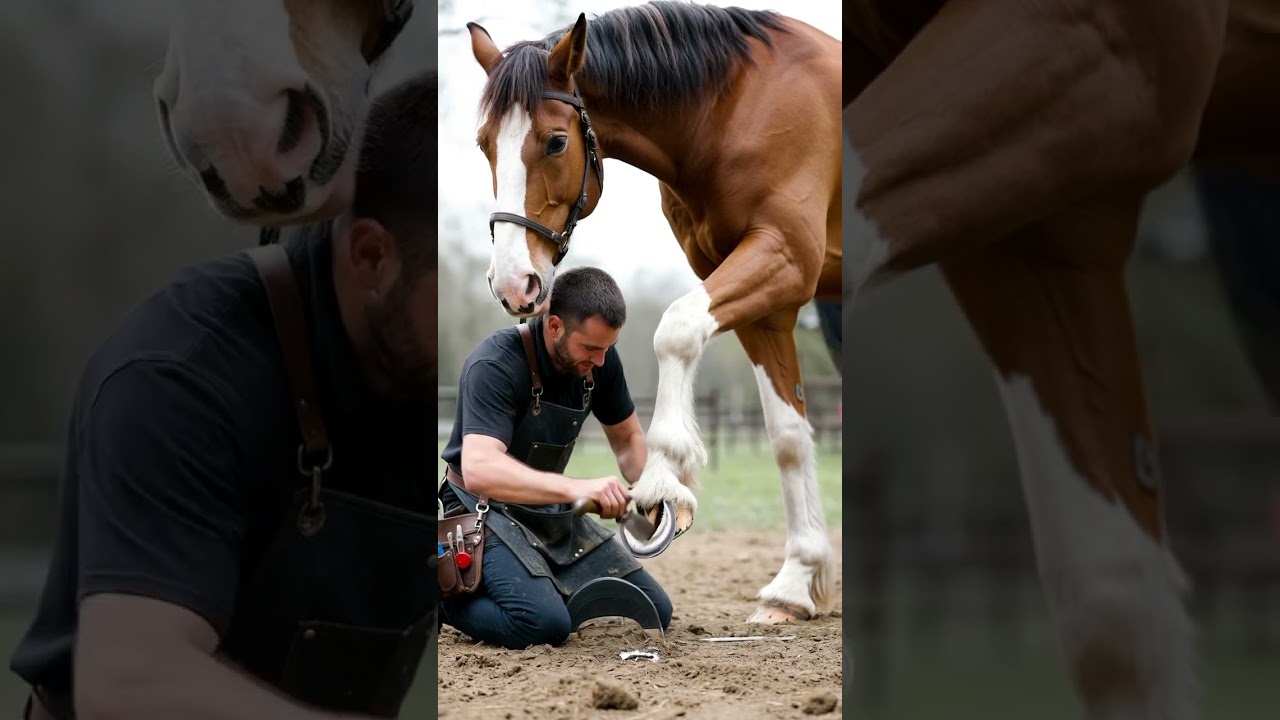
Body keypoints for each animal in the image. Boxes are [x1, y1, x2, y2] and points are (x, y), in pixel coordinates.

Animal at [464, 1, 842, 626]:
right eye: (483, 144)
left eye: (556, 142)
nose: (514, 282)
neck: (737, 106)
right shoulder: (771, 305)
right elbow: (788, 434)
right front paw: (795, 584)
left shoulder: (785, 257)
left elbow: (677, 329)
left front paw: (664, 476)